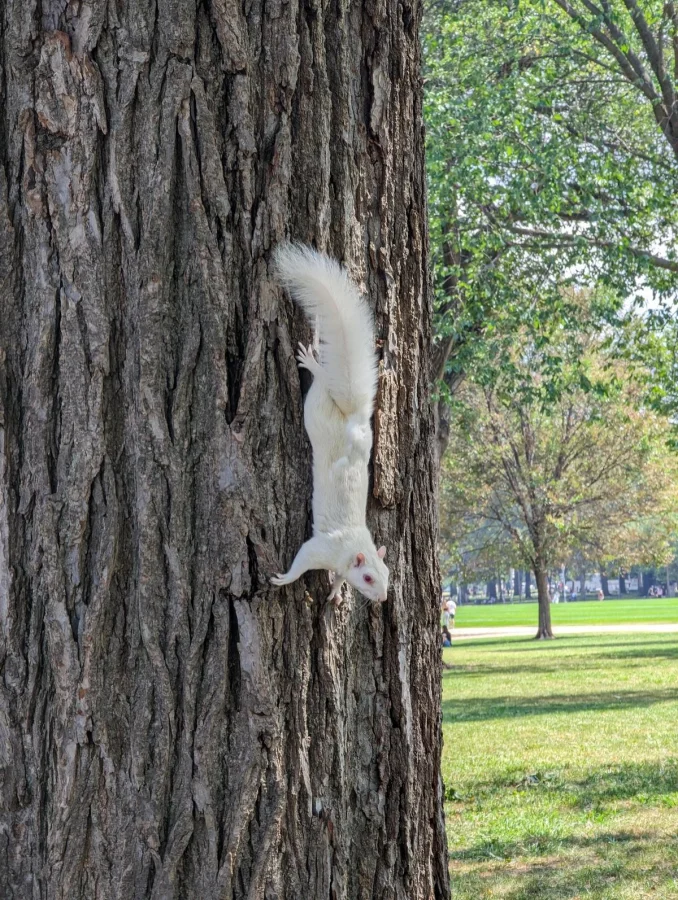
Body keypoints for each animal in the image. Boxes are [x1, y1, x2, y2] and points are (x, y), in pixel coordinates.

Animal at [270, 244, 389, 604]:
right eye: (368, 577)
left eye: (388, 574)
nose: (382, 598)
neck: (354, 546)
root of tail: (355, 420)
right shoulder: (322, 548)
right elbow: (302, 560)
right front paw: (285, 578)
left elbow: (337, 577)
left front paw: (336, 591)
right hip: (316, 406)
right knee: (322, 378)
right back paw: (312, 363)